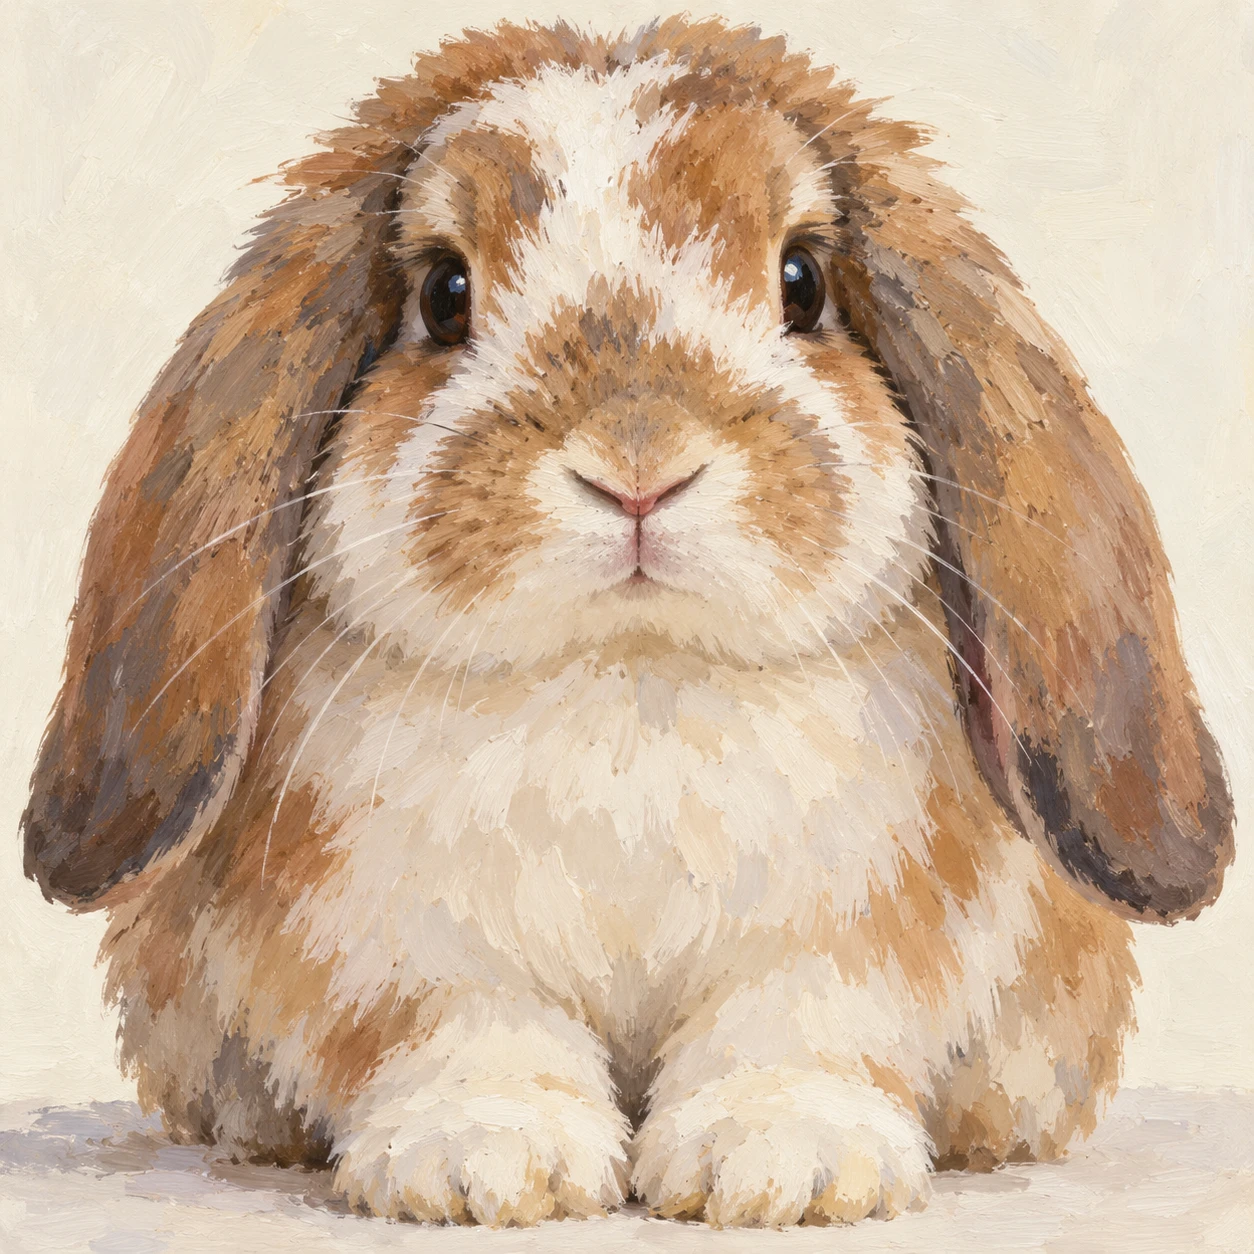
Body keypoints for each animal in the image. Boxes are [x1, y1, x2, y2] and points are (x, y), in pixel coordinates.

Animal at [22, 16, 1234, 1229]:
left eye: (802, 282)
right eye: (443, 294)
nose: (639, 466)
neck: (629, 679)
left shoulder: (849, 941)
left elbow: (793, 1026)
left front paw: (779, 1165)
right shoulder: (394, 943)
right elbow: (467, 1032)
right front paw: (488, 1165)